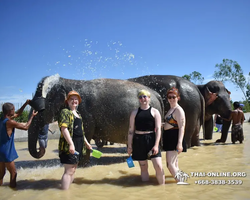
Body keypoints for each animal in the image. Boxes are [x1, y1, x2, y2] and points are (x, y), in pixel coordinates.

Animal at [27, 75, 164, 164]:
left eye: (39, 109)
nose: (40, 148)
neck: (68, 82)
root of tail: (157, 94)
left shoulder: (85, 113)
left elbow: (86, 132)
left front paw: (81, 164)